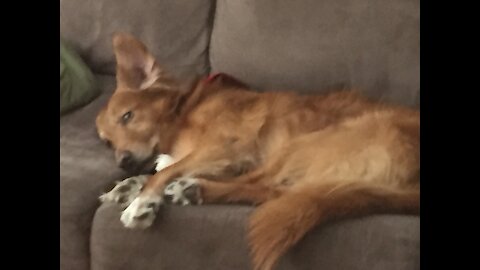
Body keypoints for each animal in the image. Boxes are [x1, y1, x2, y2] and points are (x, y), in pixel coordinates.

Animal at [95, 33, 418, 270]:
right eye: (107, 142)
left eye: (127, 116)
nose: (123, 162)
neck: (186, 109)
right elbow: (169, 166)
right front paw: (130, 185)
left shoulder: (227, 147)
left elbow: (169, 170)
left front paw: (143, 200)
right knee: (278, 191)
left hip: (309, 141)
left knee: (267, 185)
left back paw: (192, 189)